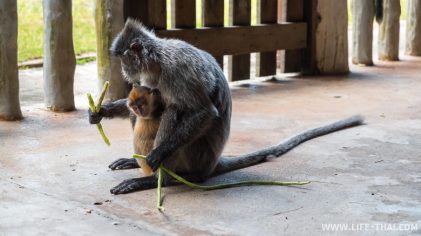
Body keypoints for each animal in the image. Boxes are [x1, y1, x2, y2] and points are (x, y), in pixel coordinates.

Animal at [89, 19, 364, 195]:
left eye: (124, 59)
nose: (124, 71)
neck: (157, 62)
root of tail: (212, 164)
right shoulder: (146, 82)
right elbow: (135, 104)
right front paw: (100, 112)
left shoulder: (178, 70)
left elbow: (204, 112)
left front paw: (157, 155)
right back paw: (137, 164)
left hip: (196, 157)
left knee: (173, 110)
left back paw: (158, 180)